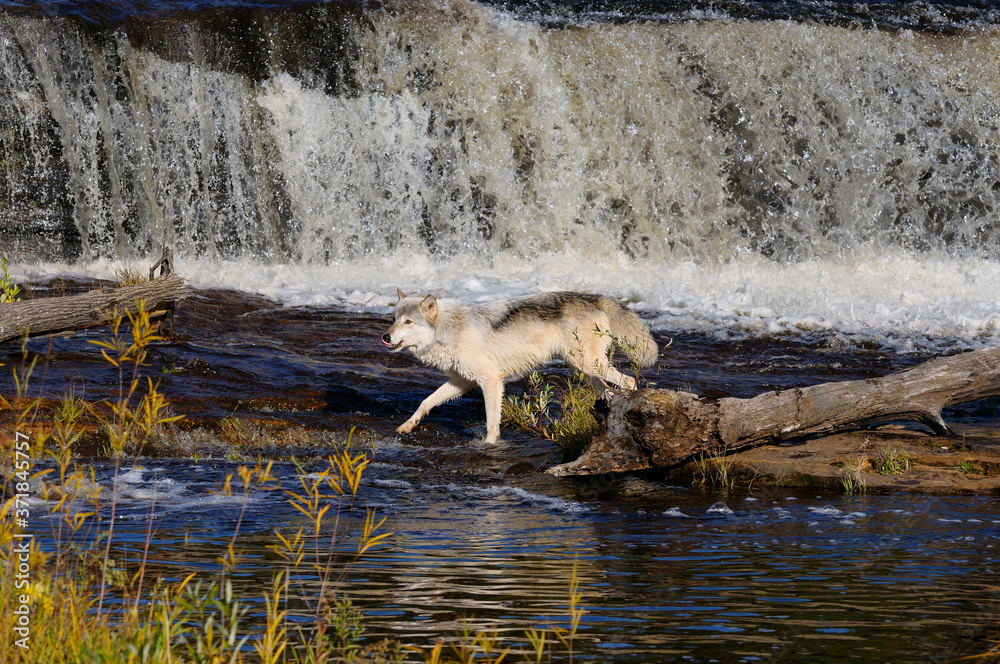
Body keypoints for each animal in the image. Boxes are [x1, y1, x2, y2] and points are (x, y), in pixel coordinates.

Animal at [381, 290, 658, 444]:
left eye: (408, 322)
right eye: (394, 319)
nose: (385, 336)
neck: (448, 330)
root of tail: (595, 297)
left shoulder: (491, 380)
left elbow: (492, 421)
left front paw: (489, 445)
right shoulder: (463, 381)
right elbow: (425, 402)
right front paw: (408, 425)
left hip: (590, 365)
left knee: (630, 381)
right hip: (585, 369)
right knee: (609, 391)